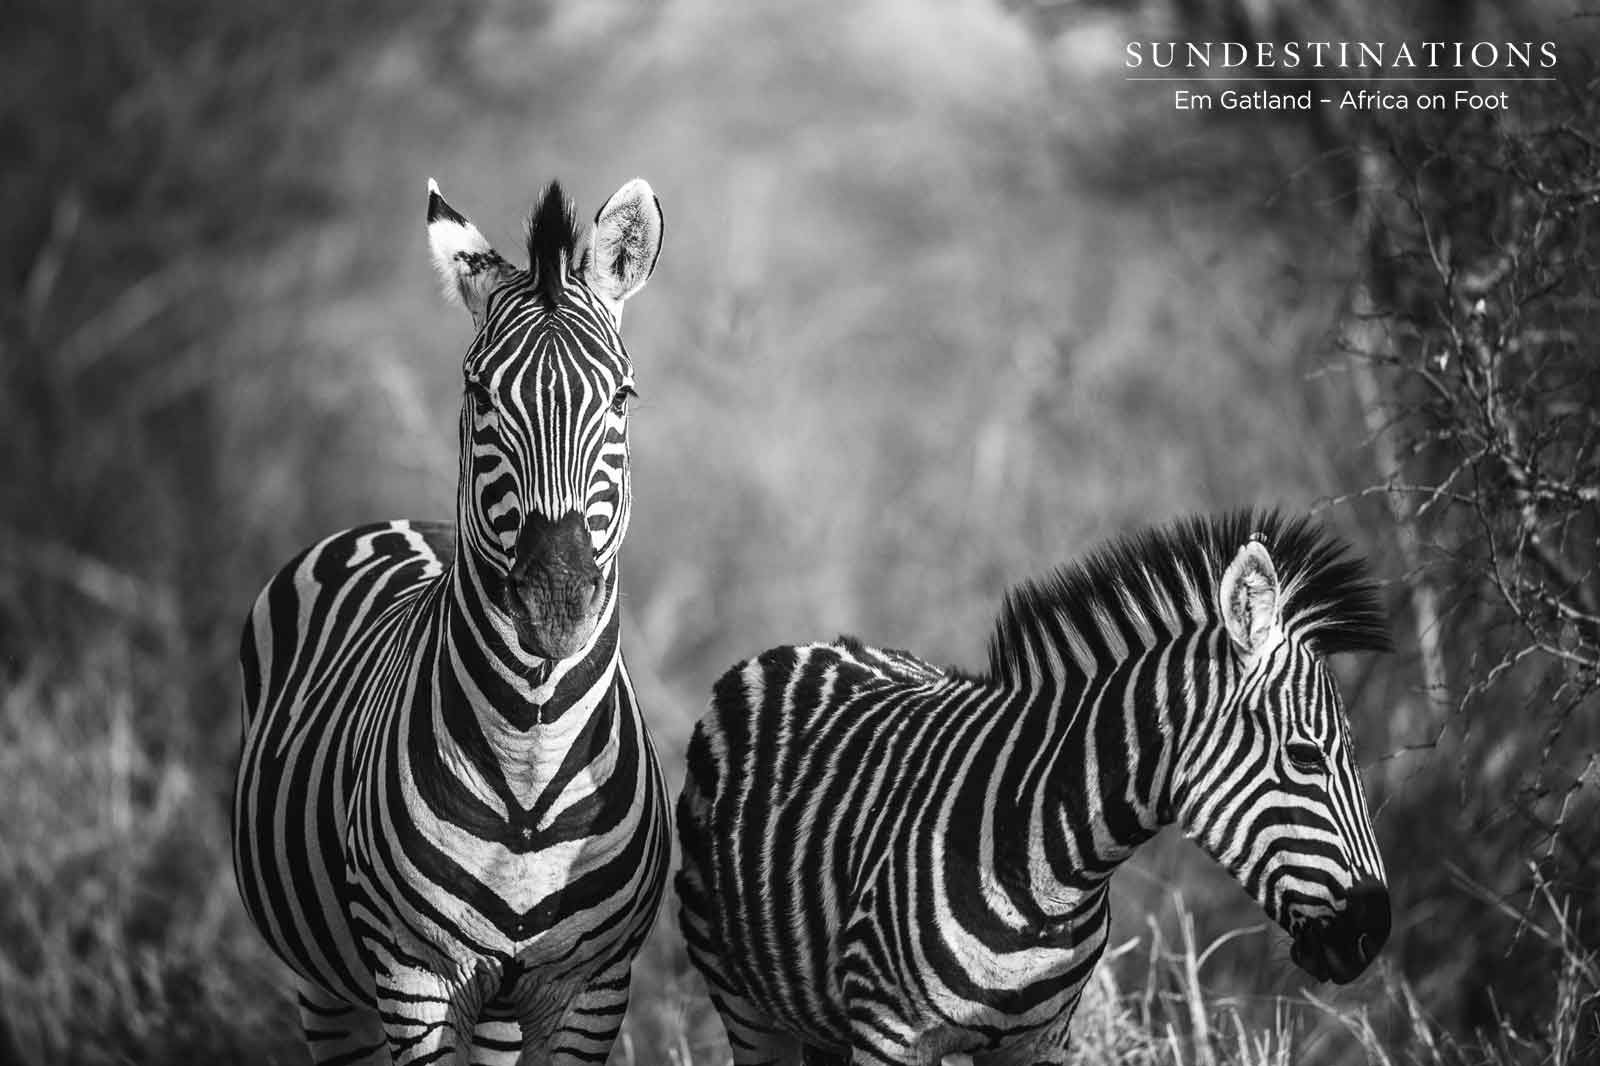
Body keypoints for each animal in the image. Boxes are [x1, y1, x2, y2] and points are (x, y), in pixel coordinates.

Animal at [233, 176, 668, 1066]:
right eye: (478, 396)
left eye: (622, 397)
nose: (557, 603)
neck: (533, 755)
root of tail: (399, 522)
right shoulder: (413, 977)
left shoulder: (596, 987)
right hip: (326, 986)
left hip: (498, 1006)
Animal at [677, 510, 1392, 1066]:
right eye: (1305, 756)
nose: (1373, 934)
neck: (1048, 864)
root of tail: (804, 646)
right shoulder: (888, 1035)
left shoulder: (1039, 1042)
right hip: (742, 998)